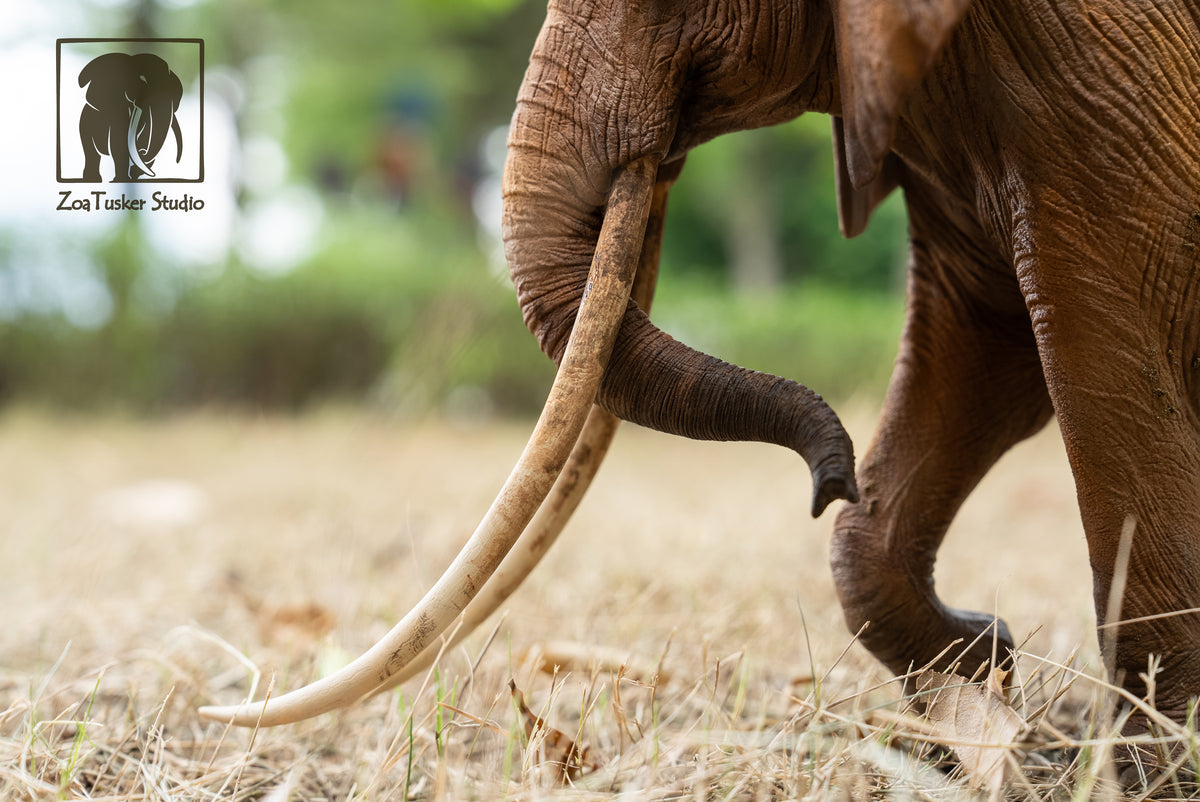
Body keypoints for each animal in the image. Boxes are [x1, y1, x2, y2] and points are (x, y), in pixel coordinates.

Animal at [201, 0, 1200, 766]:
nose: (829, 480)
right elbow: (981, 355)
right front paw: (981, 671)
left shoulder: (1099, 89)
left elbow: (1098, 365)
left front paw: (1152, 768)